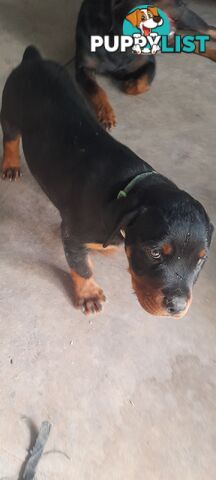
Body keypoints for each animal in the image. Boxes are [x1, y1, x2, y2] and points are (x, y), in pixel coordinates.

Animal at [1, 47, 214, 318]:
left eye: (201, 259)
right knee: (10, 138)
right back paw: (10, 164)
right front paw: (88, 294)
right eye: (154, 253)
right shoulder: (71, 233)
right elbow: (81, 265)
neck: (128, 188)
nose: (177, 307)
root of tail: (33, 60)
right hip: (9, 109)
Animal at [75, 0, 216, 129]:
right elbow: (97, 91)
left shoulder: (149, 62)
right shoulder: (83, 68)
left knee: (209, 29)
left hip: (189, 20)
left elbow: (140, 84)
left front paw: (129, 83)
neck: (117, 36)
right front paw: (106, 113)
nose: (184, 4)